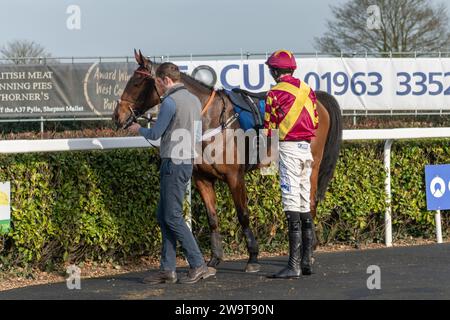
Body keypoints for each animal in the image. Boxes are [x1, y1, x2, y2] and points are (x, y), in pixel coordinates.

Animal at [112, 50, 342, 272]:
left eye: (136, 83)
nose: (117, 116)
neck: (210, 120)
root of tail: (317, 98)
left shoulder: (235, 177)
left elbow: (243, 215)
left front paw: (253, 257)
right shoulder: (202, 178)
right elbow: (212, 218)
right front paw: (215, 258)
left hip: (311, 165)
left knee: (309, 202)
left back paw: (307, 251)